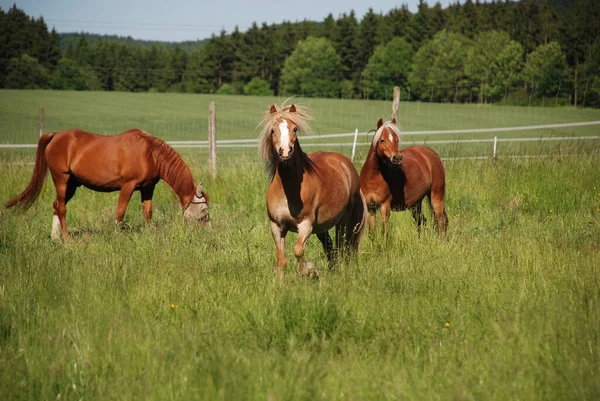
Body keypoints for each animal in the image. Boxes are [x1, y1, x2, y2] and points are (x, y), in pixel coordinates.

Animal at [5, 130, 209, 239]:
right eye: (204, 211)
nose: (207, 232)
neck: (150, 153)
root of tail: (55, 136)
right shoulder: (128, 186)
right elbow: (120, 212)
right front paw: (117, 236)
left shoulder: (147, 188)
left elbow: (148, 212)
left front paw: (150, 234)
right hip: (61, 180)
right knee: (61, 208)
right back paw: (67, 238)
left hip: (72, 185)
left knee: (56, 205)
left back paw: (55, 238)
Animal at [260, 103, 368, 278]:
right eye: (273, 130)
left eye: (295, 128)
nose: (285, 151)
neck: (287, 191)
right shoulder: (276, 226)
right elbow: (282, 260)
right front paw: (281, 282)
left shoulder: (306, 225)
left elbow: (298, 250)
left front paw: (308, 271)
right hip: (322, 227)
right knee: (330, 248)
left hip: (343, 221)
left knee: (342, 246)